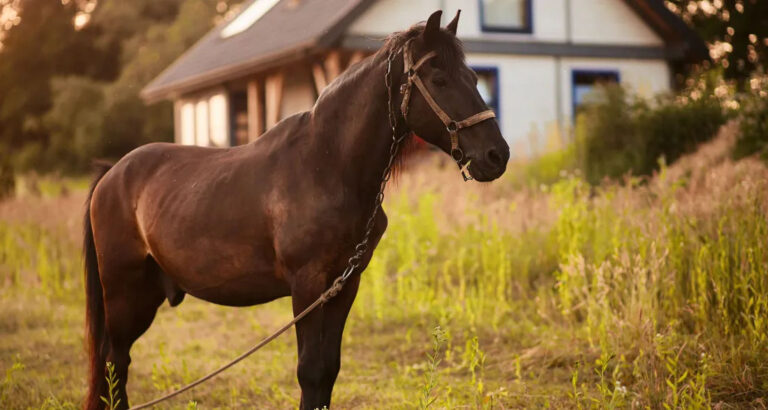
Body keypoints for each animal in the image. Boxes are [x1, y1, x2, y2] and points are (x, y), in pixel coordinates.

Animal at [83, 10, 509, 410]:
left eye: (473, 77)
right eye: (439, 80)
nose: (497, 155)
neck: (326, 166)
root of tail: (112, 173)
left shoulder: (344, 285)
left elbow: (329, 370)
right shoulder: (307, 284)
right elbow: (310, 370)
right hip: (123, 290)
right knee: (114, 359)